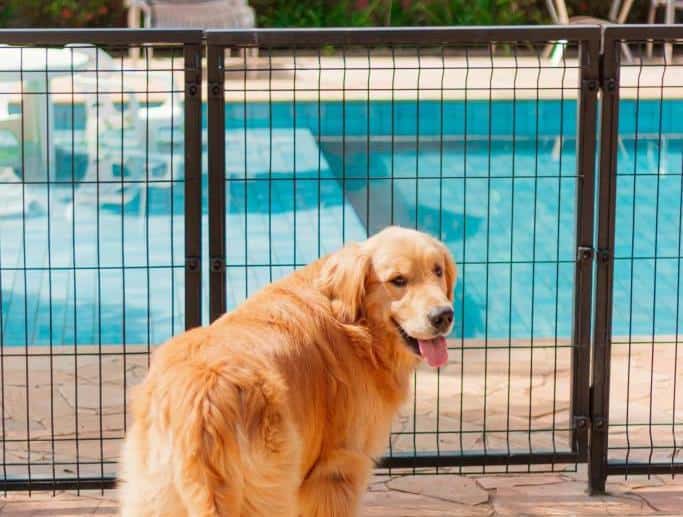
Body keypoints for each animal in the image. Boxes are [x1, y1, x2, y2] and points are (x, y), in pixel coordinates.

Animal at [119, 227, 456, 516]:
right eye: (398, 280)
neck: (356, 325)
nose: (444, 315)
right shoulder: (337, 469)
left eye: (437, 270)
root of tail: (203, 399)